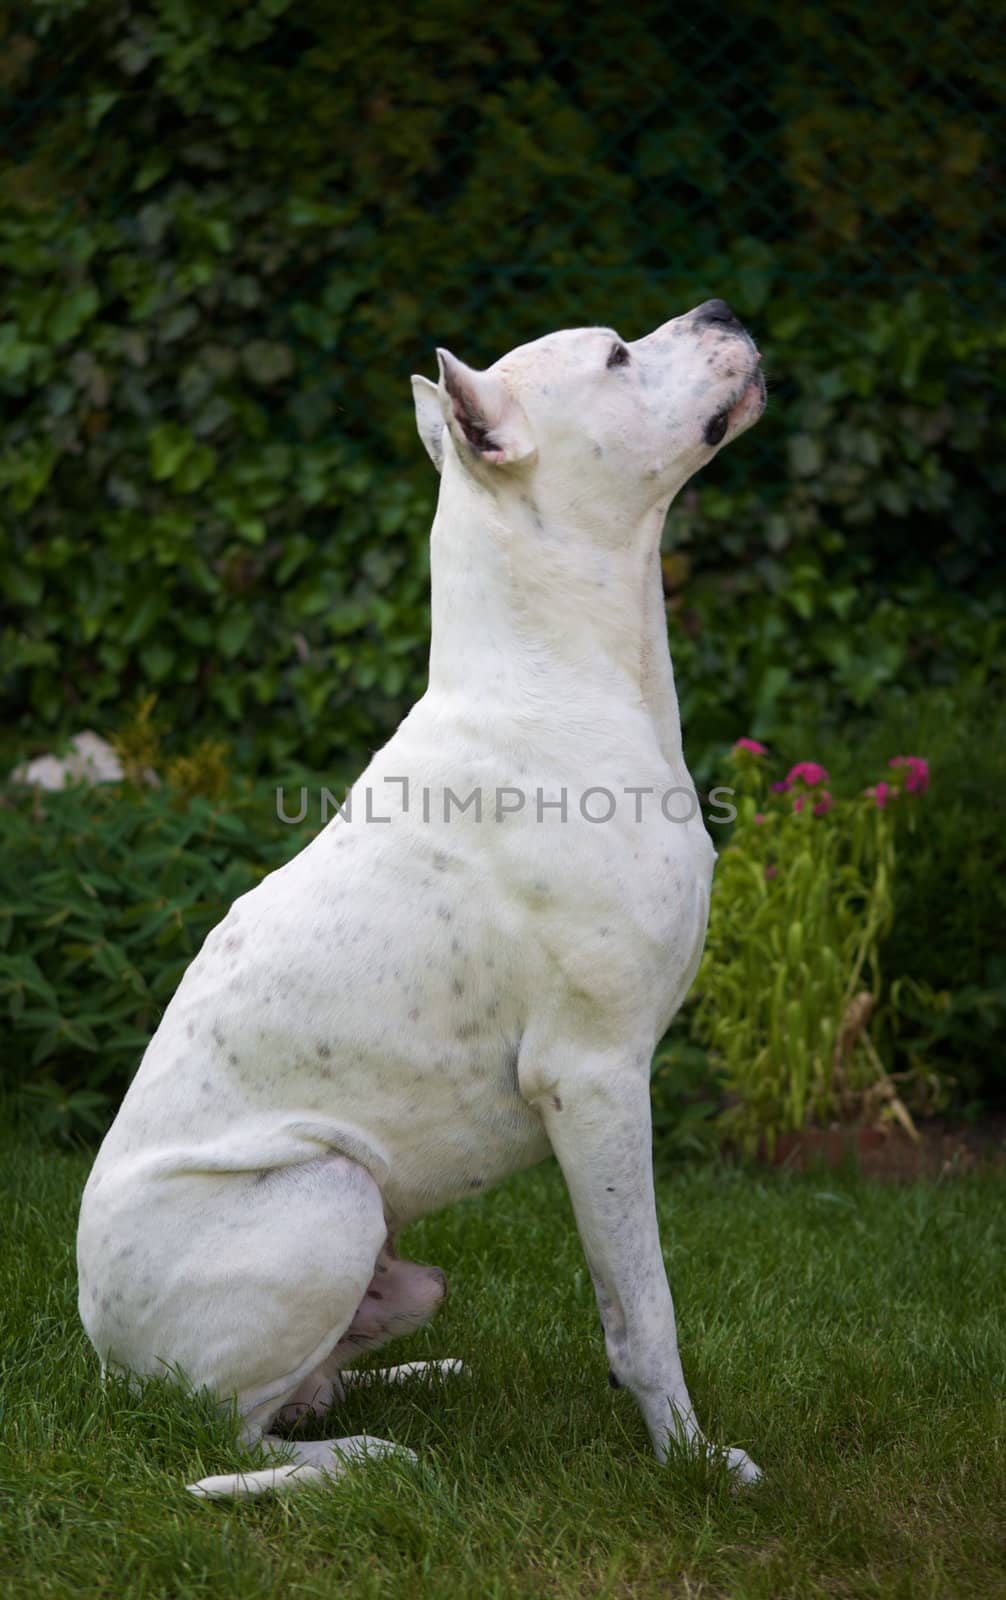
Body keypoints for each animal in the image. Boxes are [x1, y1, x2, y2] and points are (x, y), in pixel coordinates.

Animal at [76, 300, 761, 1497]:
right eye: (616, 354)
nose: (721, 310)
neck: (563, 674)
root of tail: (100, 1358)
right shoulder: (593, 1079)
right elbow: (644, 1311)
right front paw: (691, 1459)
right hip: (328, 1195)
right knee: (226, 1437)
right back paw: (368, 1457)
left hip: (396, 1267)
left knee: (311, 1382)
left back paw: (411, 1381)